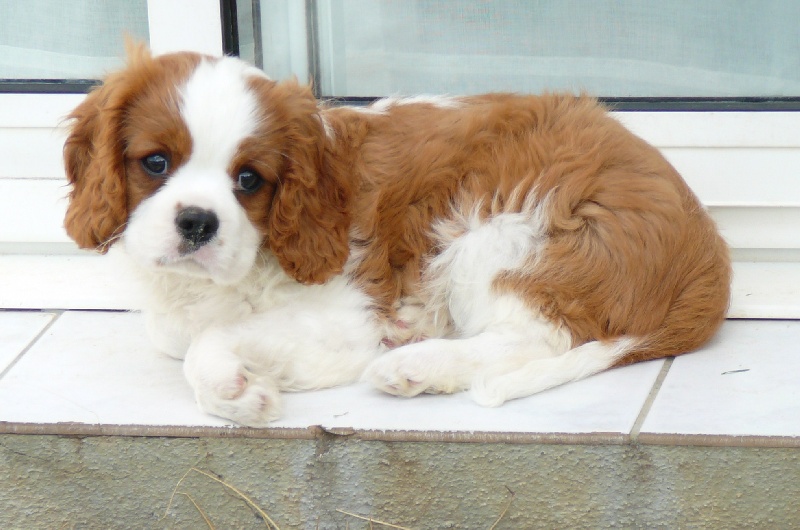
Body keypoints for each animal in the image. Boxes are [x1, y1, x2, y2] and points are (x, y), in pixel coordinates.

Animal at [63, 46, 731, 426]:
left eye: (249, 180)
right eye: (155, 163)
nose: (198, 222)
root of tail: (707, 250)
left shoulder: (346, 314)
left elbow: (206, 344)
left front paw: (235, 389)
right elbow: (182, 337)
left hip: (512, 228)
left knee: (538, 336)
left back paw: (415, 362)